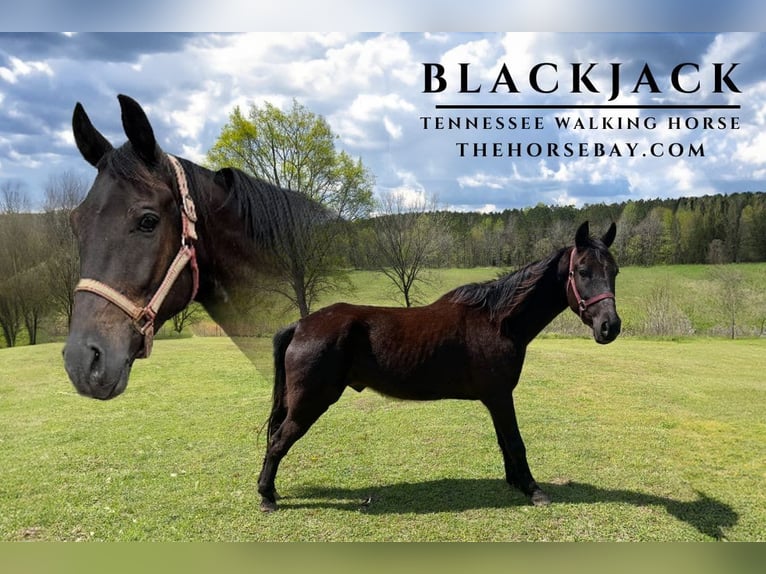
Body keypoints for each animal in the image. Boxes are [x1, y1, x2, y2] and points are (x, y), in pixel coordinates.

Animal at [257, 221, 621, 511]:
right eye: (583, 271)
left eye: (614, 271)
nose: (610, 326)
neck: (497, 321)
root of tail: (300, 325)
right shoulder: (501, 396)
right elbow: (516, 442)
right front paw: (533, 490)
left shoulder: (495, 399)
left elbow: (505, 441)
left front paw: (516, 483)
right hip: (310, 402)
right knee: (278, 441)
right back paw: (266, 496)